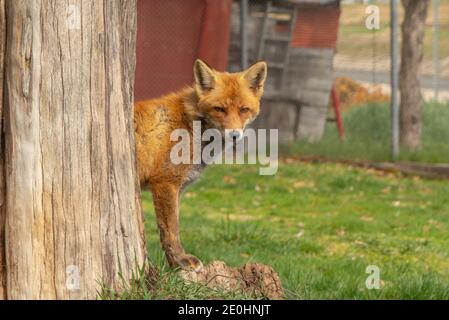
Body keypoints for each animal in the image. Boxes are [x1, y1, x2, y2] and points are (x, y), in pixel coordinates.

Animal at [133, 59, 266, 270]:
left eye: (244, 109)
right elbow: (170, 229)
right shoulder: (166, 183)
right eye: (219, 109)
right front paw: (179, 261)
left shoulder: (176, 188)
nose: (234, 135)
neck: (189, 124)